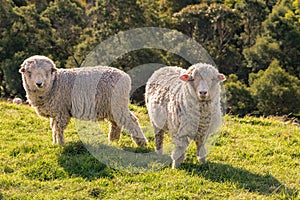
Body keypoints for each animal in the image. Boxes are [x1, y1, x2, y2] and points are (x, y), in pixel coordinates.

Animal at [19, 55, 148, 146]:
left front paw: (60, 144)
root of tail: (125, 76)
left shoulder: (62, 111)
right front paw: (55, 143)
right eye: (29, 72)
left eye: (47, 71)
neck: (54, 84)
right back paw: (113, 141)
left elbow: (58, 129)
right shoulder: (55, 112)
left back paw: (141, 143)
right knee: (116, 123)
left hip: (117, 103)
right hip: (110, 106)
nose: (39, 83)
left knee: (131, 120)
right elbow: (54, 128)